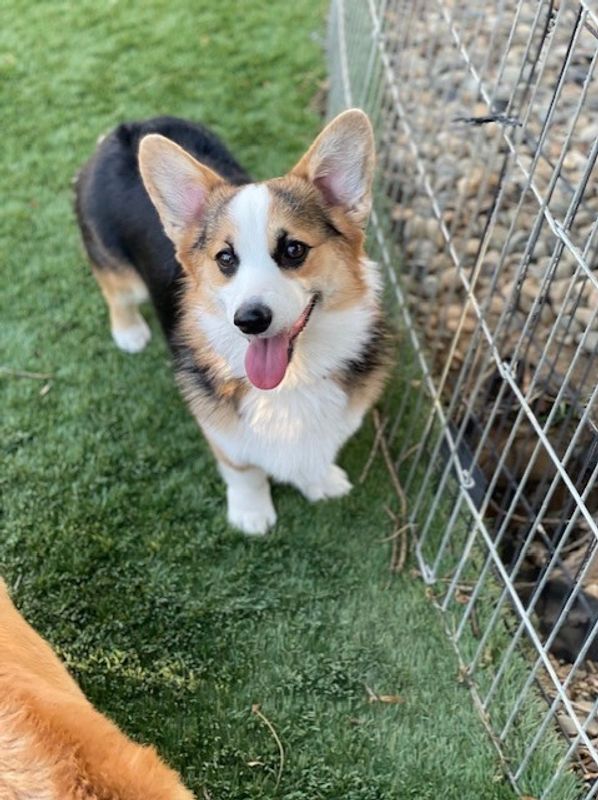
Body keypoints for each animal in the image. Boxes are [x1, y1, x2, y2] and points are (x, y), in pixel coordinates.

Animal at [75, 111, 392, 536]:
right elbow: (244, 471)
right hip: (118, 271)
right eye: (225, 258)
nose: (250, 320)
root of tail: (128, 128)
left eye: (294, 249)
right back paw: (129, 332)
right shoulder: (223, 434)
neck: (292, 381)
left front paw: (320, 482)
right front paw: (251, 514)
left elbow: (316, 453)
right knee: (116, 294)